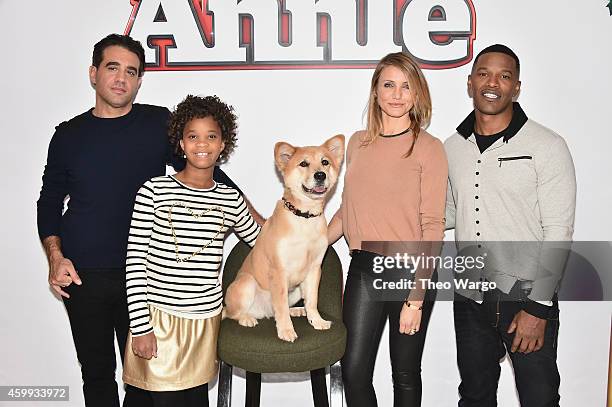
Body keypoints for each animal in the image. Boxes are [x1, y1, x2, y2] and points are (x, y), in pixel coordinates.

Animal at [226, 135, 344, 342]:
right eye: (303, 163)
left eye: (325, 162)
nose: (320, 175)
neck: (304, 217)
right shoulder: (278, 270)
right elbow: (280, 307)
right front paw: (286, 330)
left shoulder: (314, 269)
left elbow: (312, 301)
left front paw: (317, 320)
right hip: (246, 284)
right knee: (235, 313)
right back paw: (247, 318)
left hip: (295, 289)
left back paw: (296, 311)